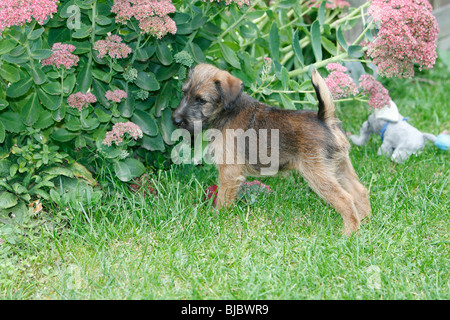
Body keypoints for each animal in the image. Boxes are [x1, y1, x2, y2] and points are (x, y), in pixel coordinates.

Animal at [172, 63, 370, 235]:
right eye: (183, 93)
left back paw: (349, 232)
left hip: (318, 174)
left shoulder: (229, 171)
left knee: (345, 199)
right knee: (359, 191)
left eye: (201, 100)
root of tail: (325, 119)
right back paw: (365, 221)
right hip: (340, 167)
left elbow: (223, 196)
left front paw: (217, 216)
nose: (175, 120)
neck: (227, 112)